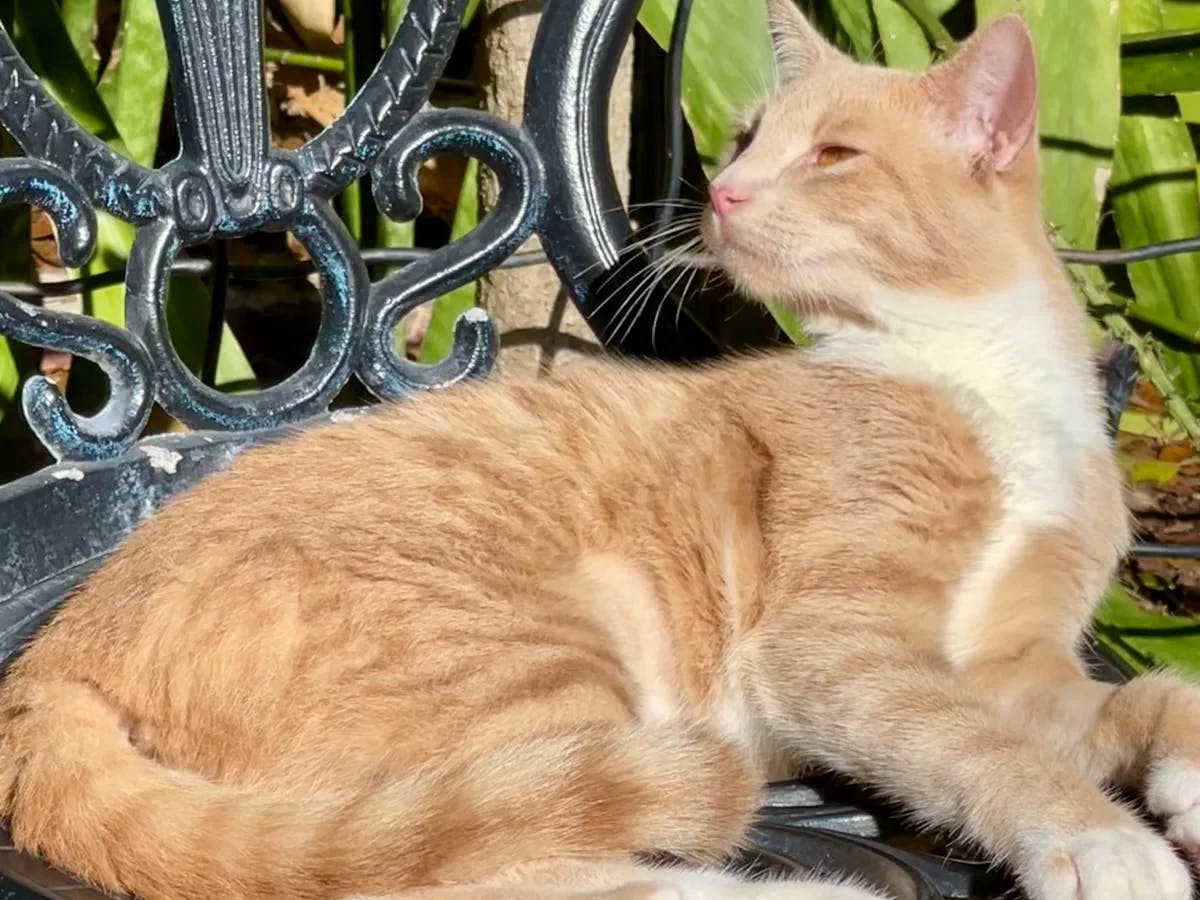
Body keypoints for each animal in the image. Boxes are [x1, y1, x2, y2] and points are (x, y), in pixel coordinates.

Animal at [0, 5, 1190, 900]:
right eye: (746, 137)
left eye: (834, 154)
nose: (722, 192)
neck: (981, 373)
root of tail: (52, 660)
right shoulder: (842, 652)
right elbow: (977, 750)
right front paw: (1100, 837)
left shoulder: (1017, 664)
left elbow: (1145, 697)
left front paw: (1176, 769)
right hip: (534, 663)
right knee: (476, 871)